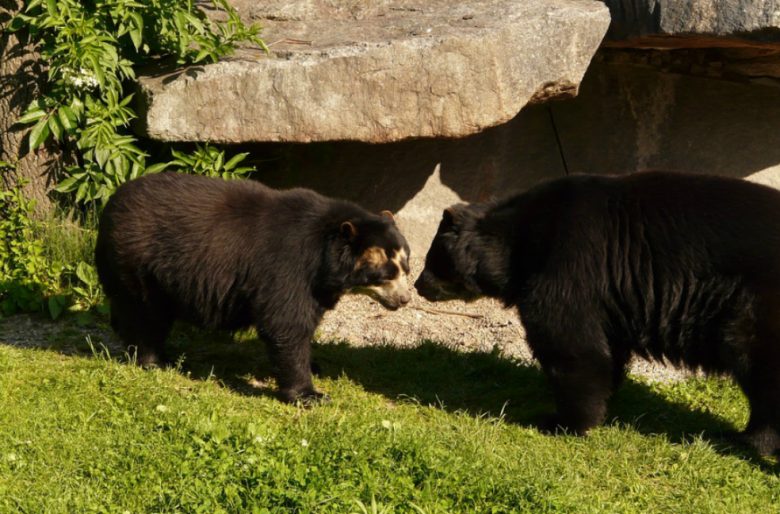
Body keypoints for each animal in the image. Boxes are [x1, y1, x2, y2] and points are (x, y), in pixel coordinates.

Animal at [95, 172, 411, 403]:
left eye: (406, 266)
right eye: (386, 273)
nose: (405, 299)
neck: (325, 255)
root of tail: (110, 203)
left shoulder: (318, 284)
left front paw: (315, 365)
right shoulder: (288, 265)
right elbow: (286, 322)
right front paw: (310, 394)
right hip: (139, 261)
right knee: (145, 313)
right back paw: (153, 360)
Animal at [415, 170, 780, 456]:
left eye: (431, 259)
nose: (418, 286)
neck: (521, 243)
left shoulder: (569, 266)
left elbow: (571, 345)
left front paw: (562, 422)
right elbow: (607, 349)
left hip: (755, 306)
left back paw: (747, 441)